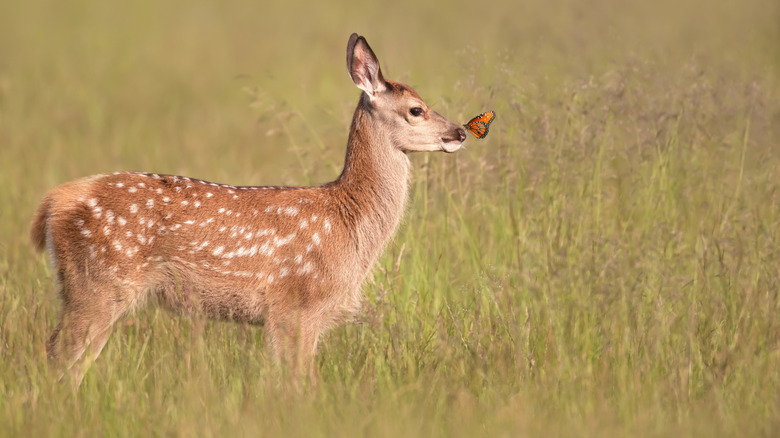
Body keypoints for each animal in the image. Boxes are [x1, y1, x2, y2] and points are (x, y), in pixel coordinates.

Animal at [30, 33, 467, 386]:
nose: (460, 131)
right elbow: (300, 384)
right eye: (416, 109)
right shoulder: (296, 303)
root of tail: (55, 201)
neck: (348, 220)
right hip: (99, 283)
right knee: (59, 358)